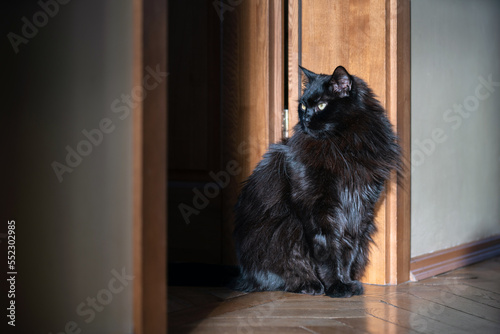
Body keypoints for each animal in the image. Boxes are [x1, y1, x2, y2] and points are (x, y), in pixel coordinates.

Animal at [232, 65, 400, 298]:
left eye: (321, 105)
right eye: (303, 105)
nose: (306, 120)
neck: (342, 146)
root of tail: (243, 276)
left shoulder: (360, 209)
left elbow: (348, 250)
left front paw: (347, 282)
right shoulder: (317, 207)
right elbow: (328, 250)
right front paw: (336, 286)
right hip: (283, 230)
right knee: (282, 275)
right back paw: (308, 285)